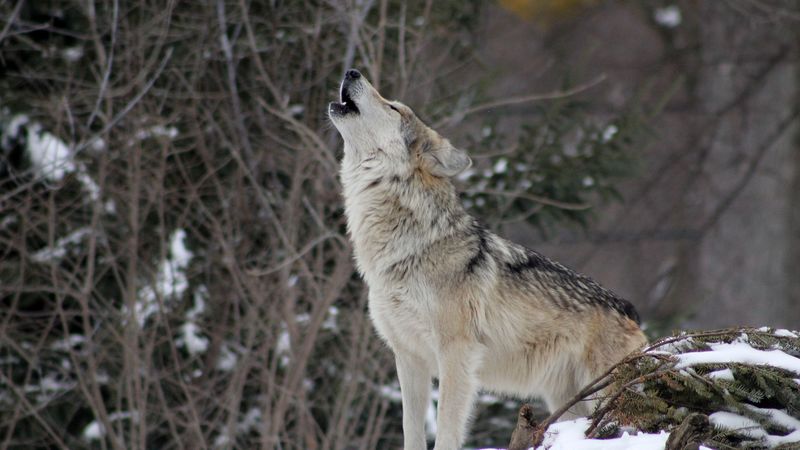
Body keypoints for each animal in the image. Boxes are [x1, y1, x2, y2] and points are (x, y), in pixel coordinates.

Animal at [329, 69, 647, 450]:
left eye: (393, 107)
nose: (352, 71)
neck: (407, 247)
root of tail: (631, 311)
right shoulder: (408, 357)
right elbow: (411, 430)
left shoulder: (456, 354)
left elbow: (446, 430)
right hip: (568, 401)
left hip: (601, 394)